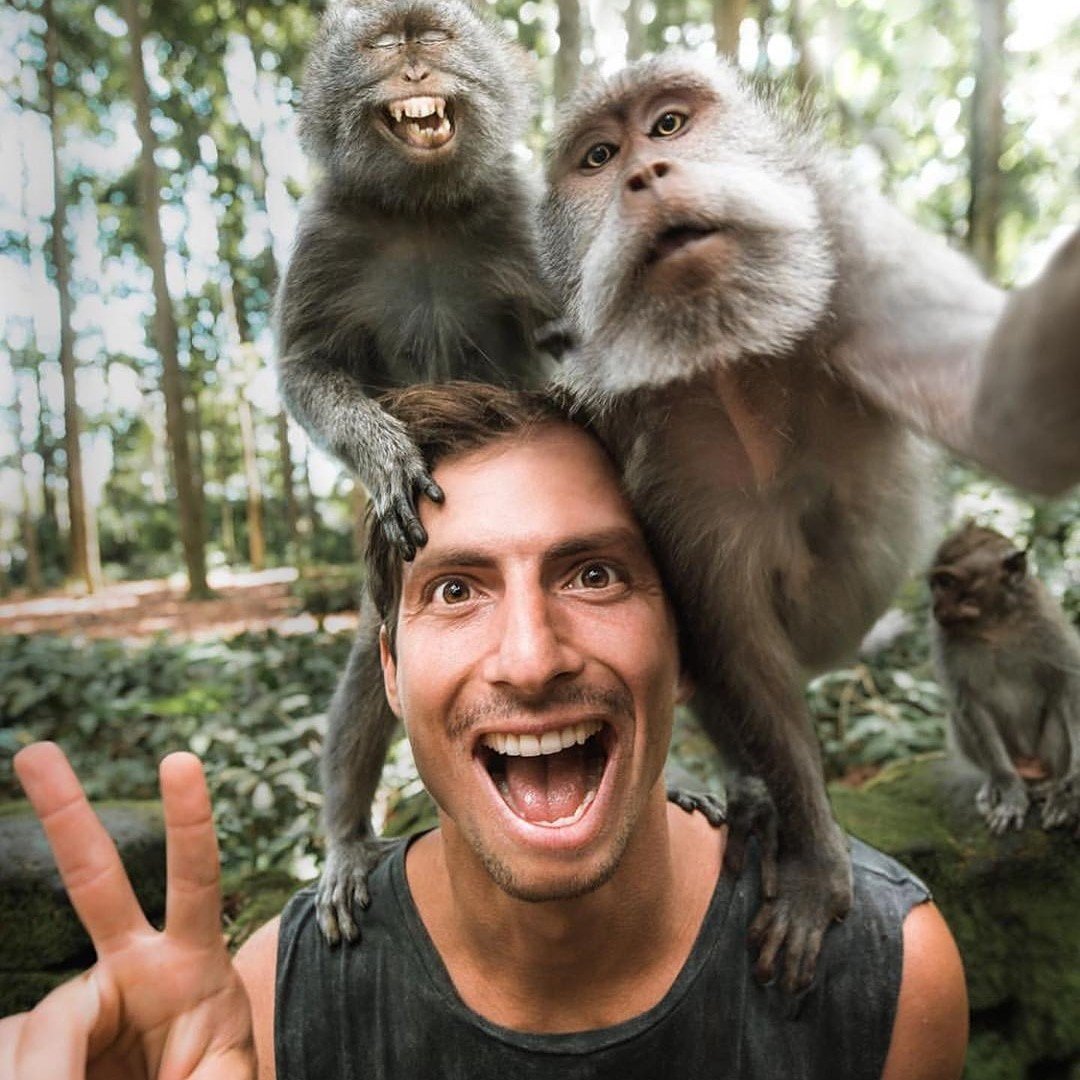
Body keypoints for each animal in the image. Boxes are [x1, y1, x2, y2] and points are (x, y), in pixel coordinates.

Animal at [273, 0, 558, 944]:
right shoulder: (324, 231)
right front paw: (382, 448)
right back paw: (346, 842)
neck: (423, 206)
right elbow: (306, 369)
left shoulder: (520, 213)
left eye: (430, 37)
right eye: (380, 46)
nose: (411, 71)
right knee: (373, 666)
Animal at [929, 522, 1080, 836]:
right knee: (957, 714)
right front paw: (1010, 791)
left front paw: (1073, 781)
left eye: (947, 582)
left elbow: (1070, 681)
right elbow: (968, 701)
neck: (995, 622)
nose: (935, 606)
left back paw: (1051, 785)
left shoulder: (1046, 618)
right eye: (935, 584)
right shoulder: (943, 637)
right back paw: (995, 783)